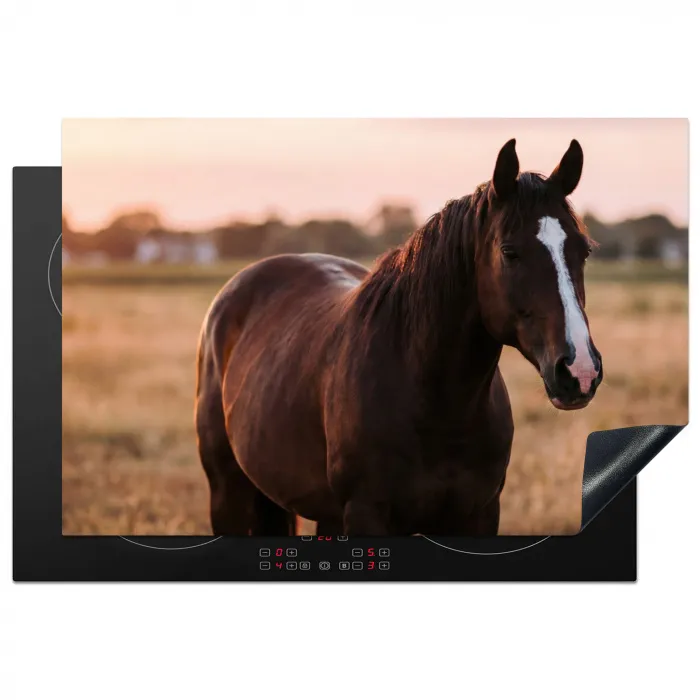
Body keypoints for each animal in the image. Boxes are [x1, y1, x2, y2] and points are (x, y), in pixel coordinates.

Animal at [195, 138, 603, 536]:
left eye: (583, 251)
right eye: (509, 252)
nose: (579, 370)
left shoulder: (481, 514)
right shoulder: (365, 514)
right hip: (228, 493)